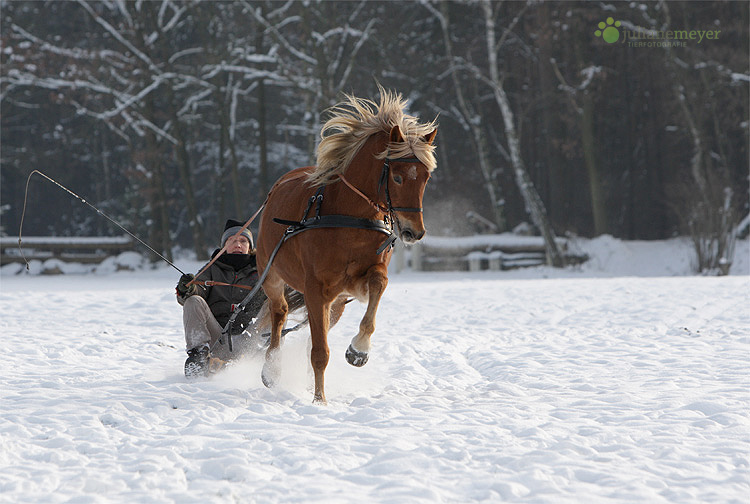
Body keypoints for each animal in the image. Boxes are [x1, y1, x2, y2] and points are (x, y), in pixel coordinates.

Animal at [256, 85, 438, 402]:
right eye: (398, 177)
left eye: (426, 177)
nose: (414, 232)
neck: (349, 216)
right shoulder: (315, 289)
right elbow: (319, 352)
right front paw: (319, 400)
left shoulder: (352, 284)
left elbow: (378, 285)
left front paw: (359, 349)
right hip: (272, 276)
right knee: (279, 314)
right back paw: (272, 368)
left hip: (336, 304)